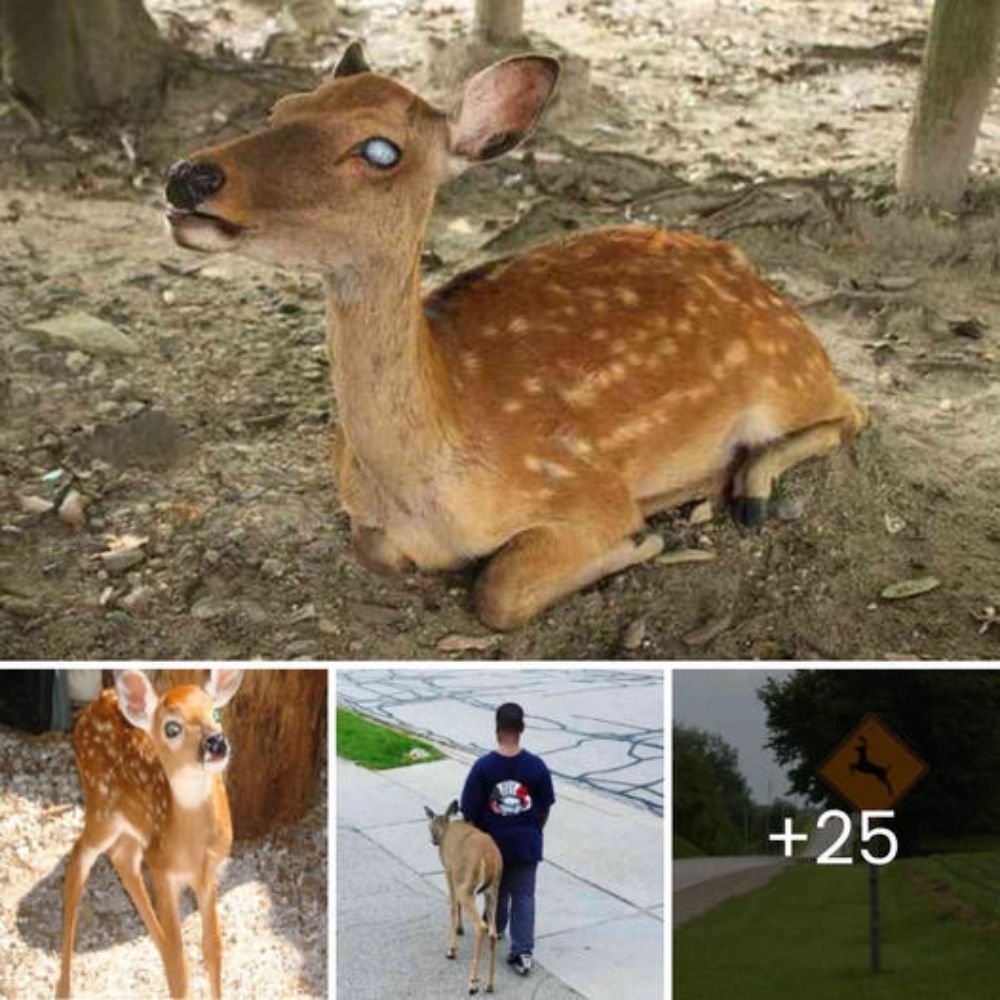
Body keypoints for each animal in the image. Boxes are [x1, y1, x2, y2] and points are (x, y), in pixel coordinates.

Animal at [56, 668, 244, 996]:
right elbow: (180, 967)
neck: (191, 846)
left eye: (216, 712)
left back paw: (159, 941)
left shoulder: (208, 874)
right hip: (101, 807)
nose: (216, 742)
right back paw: (63, 988)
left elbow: (213, 950)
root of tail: (95, 703)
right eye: (172, 728)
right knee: (79, 857)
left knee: (122, 858)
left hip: (134, 828)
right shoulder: (162, 870)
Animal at [166, 45, 868, 632]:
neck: (426, 492)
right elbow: (376, 551)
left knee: (852, 412)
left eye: (380, 151)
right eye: (281, 108)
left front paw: (643, 540)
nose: (190, 176)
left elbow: (498, 592)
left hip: (786, 376)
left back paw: (744, 490)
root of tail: (752, 273)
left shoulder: (585, 490)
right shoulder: (366, 517)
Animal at [424, 796, 500, 992]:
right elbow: (455, 905)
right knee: (493, 932)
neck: (446, 830)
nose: (433, 840)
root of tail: (490, 859)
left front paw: (451, 949)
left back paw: (473, 982)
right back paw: (490, 984)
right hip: (493, 890)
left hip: (468, 887)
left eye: (430, 826)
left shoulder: (449, 871)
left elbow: (451, 905)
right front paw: (460, 928)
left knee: (481, 926)